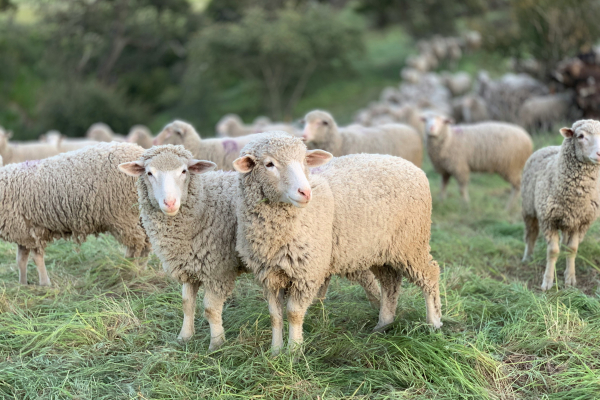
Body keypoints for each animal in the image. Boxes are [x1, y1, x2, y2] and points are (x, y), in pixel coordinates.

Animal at [1, 142, 151, 286]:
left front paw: (44, 284)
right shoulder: (22, 231)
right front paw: (22, 284)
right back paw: (140, 270)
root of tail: (140, 151)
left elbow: (36, 258)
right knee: (147, 242)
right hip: (139, 215)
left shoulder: (31, 231)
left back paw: (127, 271)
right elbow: (21, 260)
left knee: (136, 245)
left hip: (124, 215)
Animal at [118, 144, 380, 350]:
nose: (170, 203)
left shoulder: (218, 269)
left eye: (184, 171)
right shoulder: (189, 266)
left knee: (369, 281)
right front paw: (184, 337)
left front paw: (216, 344)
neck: (203, 204)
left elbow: (210, 309)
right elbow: (186, 303)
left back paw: (379, 313)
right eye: (149, 173)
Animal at [233, 132, 440, 354]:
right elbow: (275, 315)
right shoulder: (268, 274)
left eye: (305, 161)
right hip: (380, 249)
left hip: (412, 242)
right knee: (390, 283)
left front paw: (294, 352)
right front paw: (275, 352)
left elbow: (294, 314)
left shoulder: (307, 272)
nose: (305, 192)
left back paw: (434, 323)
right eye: (269, 164)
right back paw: (383, 324)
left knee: (430, 275)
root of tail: (411, 166)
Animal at [520, 119, 600, 290]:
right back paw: (527, 257)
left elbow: (572, 249)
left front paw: (570, 278)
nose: (599, 154)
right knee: (531, 234)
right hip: (528, 209)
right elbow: (552, 251)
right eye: (580, 136)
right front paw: (547, 282)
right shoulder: (548, 220)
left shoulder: (579, 221)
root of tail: (549, 146)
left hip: (567, 220)